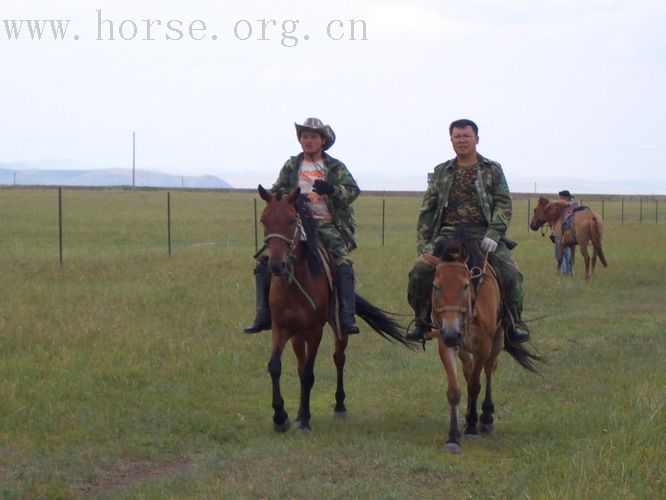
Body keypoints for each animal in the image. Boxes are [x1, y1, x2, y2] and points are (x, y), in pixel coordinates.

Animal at [256, 187, 412, 434]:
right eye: (264, 220)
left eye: (291, 220)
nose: (276, 266)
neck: (296, 284)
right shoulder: (281, 328)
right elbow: (275, 367)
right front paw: (281, 417)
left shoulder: (314, 331)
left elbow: (309, 375)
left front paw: (305, 420)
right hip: (297, 335)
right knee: (300, 365)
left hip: (338, 328)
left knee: (339, 359)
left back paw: (339, 406)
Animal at [422, 236, 544, 456]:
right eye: (436, 286)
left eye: (464, 285)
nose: (451, 332)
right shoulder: (446, 344)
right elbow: (455, 390)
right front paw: (453, 437)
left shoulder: (483, 345)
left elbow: (475, 385)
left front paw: (472, 426)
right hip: (464, 348)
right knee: (468, 371)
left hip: (497, 340)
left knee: (489, 370)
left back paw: (486, 417)